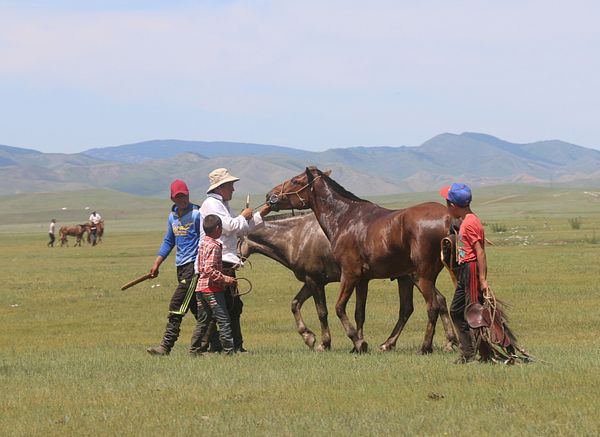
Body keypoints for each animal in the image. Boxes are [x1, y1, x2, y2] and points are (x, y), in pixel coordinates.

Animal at [268, 167, 454, 354]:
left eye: (294, 180)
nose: (270, 195)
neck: (344, 218)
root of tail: (446, 218)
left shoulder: (349, 274)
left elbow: (339, 308)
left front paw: (357, 342)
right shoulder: (362, 280)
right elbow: (359, 312)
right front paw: (357, 344)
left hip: (422, 276)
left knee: (432, 307)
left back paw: (425, 347)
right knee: (414, 307)